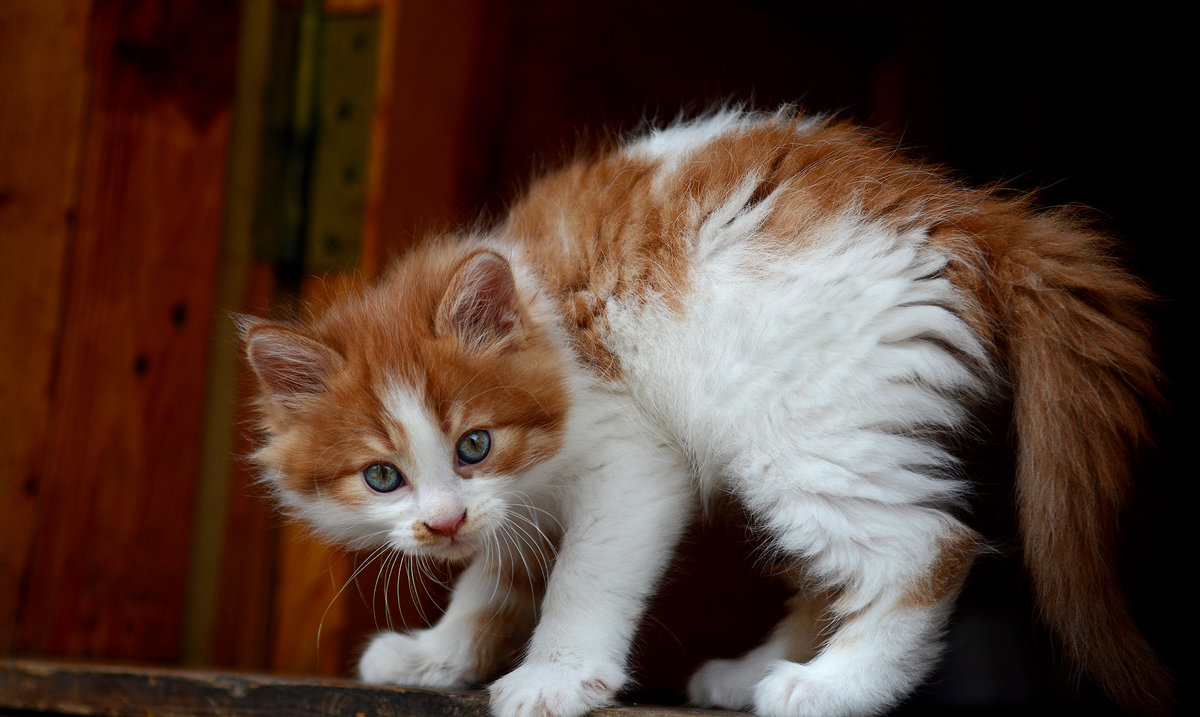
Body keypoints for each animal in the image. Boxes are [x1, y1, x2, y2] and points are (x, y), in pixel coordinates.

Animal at [241, 107, 1171, 717]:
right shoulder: (516, 506)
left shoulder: (630, 459)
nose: (441, 522)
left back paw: (833, 687)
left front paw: (556, 674)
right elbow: (490, 578)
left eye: (474, 444)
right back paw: (751, 672)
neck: (543, 311)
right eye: (382, 476)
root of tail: (966, 214)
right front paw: (439, 654)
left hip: (801, 424)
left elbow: (584, 575)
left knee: (924, 547)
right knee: (836, 567)